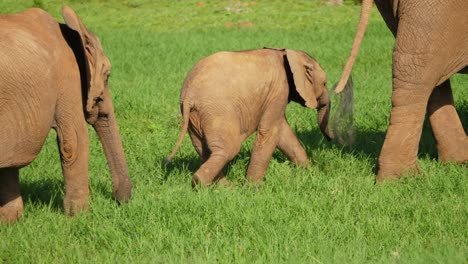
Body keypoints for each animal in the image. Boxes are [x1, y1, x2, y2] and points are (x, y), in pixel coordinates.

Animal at [0, 6, 132, 223]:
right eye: (108, 75)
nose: (121, 201)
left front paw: (11, 221)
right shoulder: (68, 77)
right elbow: (74, 142)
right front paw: (78, 217)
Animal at [166, 48, 334, 187]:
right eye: (325, 83)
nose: (330, 139)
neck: (286, 53)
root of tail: (189, 94)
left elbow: (283, 133)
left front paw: (311, 173)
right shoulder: (279, 89)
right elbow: (270, 131)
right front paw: (253, 189)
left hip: (195, 117)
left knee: (204, 149)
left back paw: (224, 189)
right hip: (218, 112)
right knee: (228, 149)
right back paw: (214, 187)